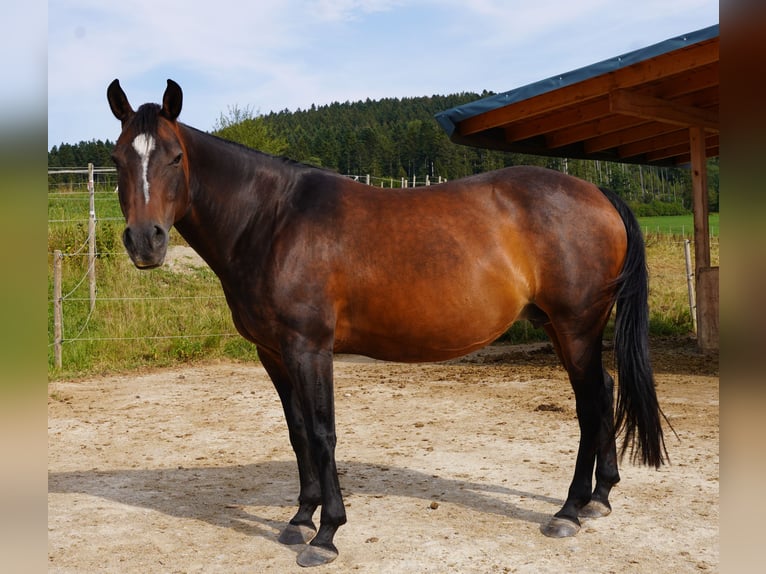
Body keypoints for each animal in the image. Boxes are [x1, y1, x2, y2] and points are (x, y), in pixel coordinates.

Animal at [106, 79, 664, 568]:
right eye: (116, 159)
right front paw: (300, 518)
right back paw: (598, 497)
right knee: (603, 391)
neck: (272, 220)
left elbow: (323, 432)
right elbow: (297, 432)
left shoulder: (309, 347)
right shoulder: (273, 353)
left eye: (175, 157)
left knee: (590, 404)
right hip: (561, 327)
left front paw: (326, 534)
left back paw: (569, 510)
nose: (146, 241)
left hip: (575, 326)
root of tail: (598, 193)